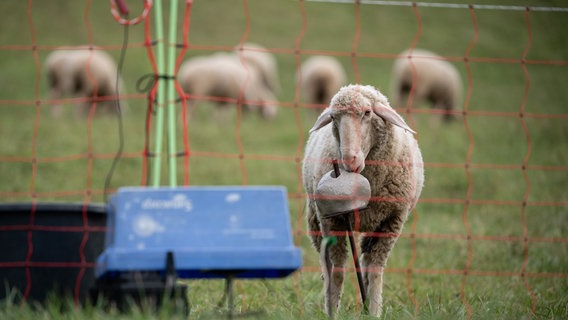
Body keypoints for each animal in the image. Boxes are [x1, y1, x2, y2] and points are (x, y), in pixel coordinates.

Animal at [304, 84, 424, 318]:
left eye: (368, 113)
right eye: (333, 117)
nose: (349, 160)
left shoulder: (392, 221)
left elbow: (376, 271)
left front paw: (374, 311)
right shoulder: (333, 222)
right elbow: (337, 272)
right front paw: (333, 312)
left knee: (367, 263)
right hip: (315, 220)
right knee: (327, 267)